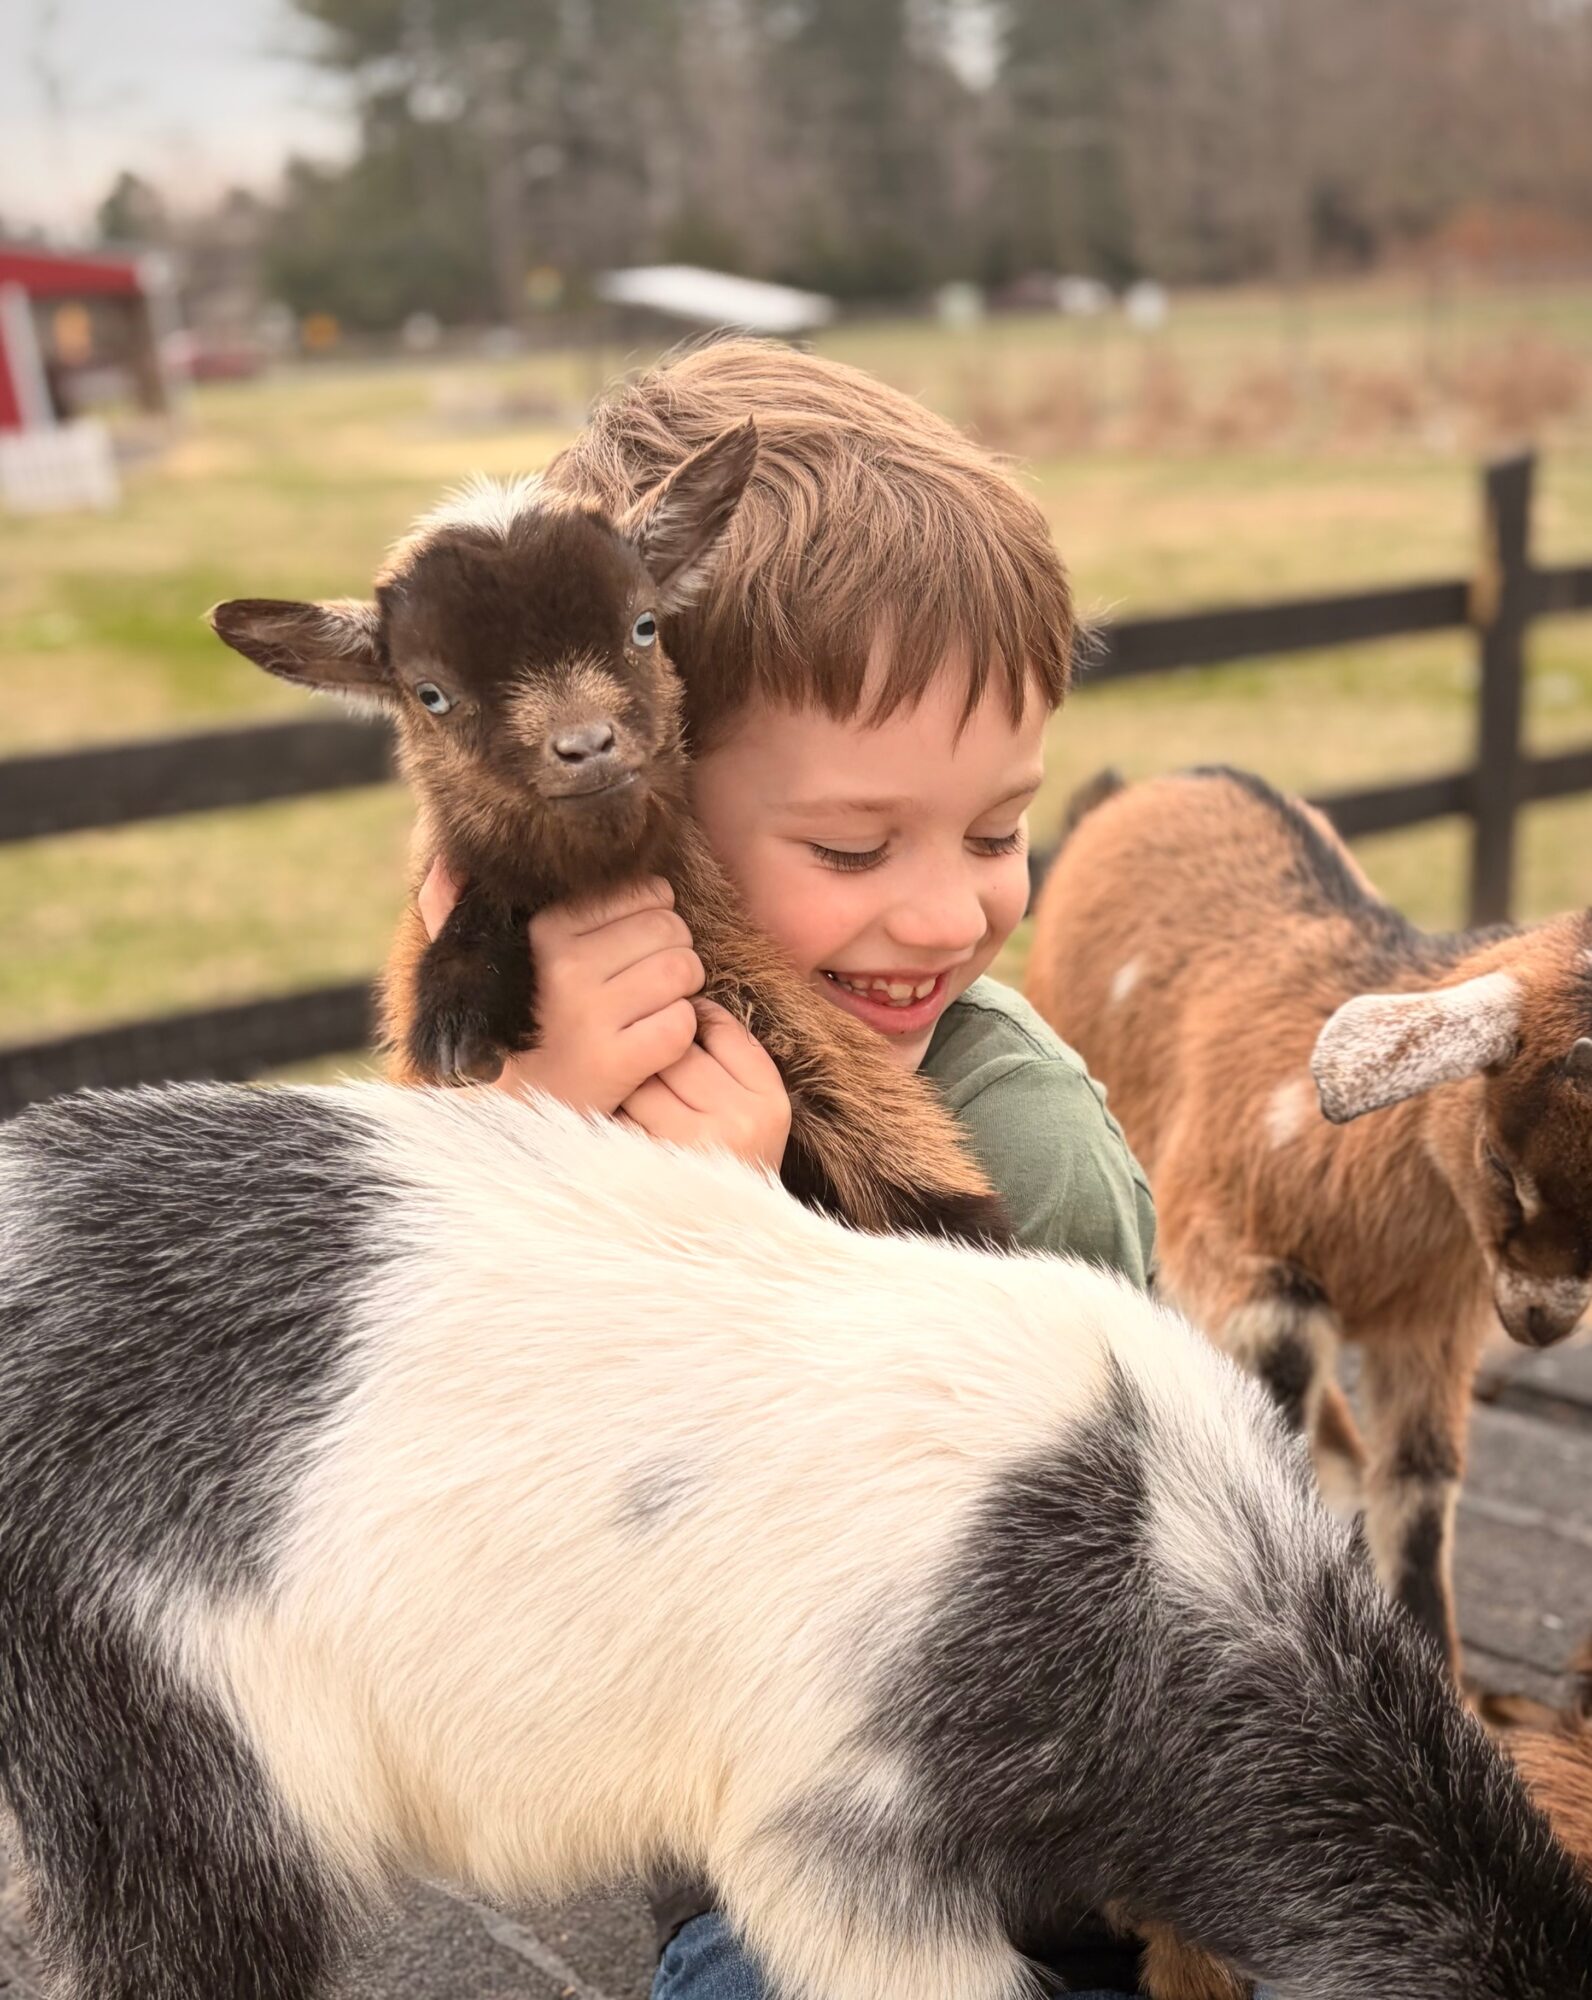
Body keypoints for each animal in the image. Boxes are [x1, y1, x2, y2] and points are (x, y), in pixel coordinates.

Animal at [1026, 764, 1592, 1674]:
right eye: (1501, 1166)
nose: (1544, 1323)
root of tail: (1144, 787)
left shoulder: (1433, 1327)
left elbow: (1420, 1486)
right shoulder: (1218, 1241)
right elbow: (1282, 1360)